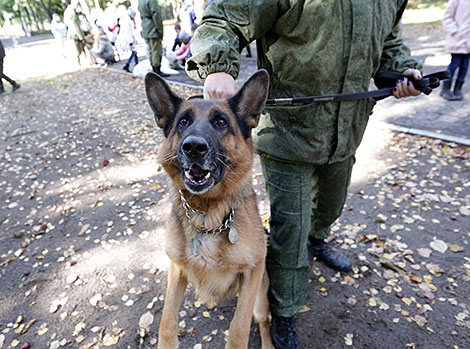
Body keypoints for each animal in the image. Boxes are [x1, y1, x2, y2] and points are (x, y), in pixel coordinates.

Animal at [145, 70, 274, 348]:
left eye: (221, 122)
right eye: (183, 121)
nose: (194, 147)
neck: (205, 216)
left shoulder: (254, 270)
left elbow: (239, 328)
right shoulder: (176, 269)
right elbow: (166, 322)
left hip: (260, 296)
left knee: (264, 321)